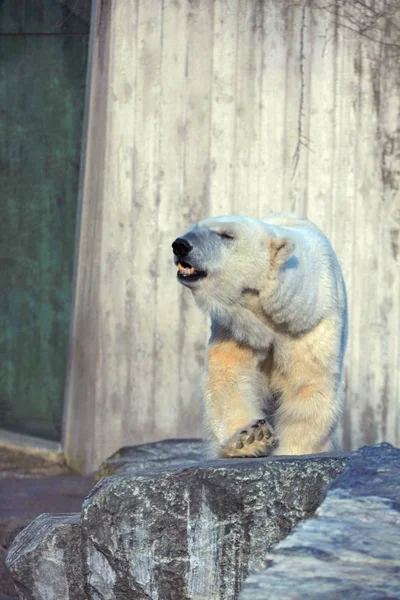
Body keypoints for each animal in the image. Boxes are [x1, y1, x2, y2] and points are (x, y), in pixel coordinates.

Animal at [172, 216, 346, 460]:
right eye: (194, 227)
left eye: (227, 235)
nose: (180, 245)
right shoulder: (238, 328)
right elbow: (230, 376)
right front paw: (249, 439)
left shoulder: (309, 325)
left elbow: (309, 384)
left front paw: (292, 451)